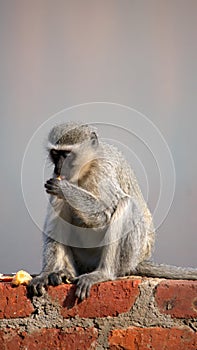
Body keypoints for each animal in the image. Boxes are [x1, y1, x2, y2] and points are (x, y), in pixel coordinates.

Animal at [27, 121, 197, 300]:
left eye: (66, 155)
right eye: (55, 154)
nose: (59, 168)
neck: (86, 168)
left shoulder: (102, 172)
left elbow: (106, 212)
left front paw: (64, 189)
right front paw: (45, 274)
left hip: (129, 254)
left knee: (126, 203)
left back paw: (104, 273)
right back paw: (65, 272)